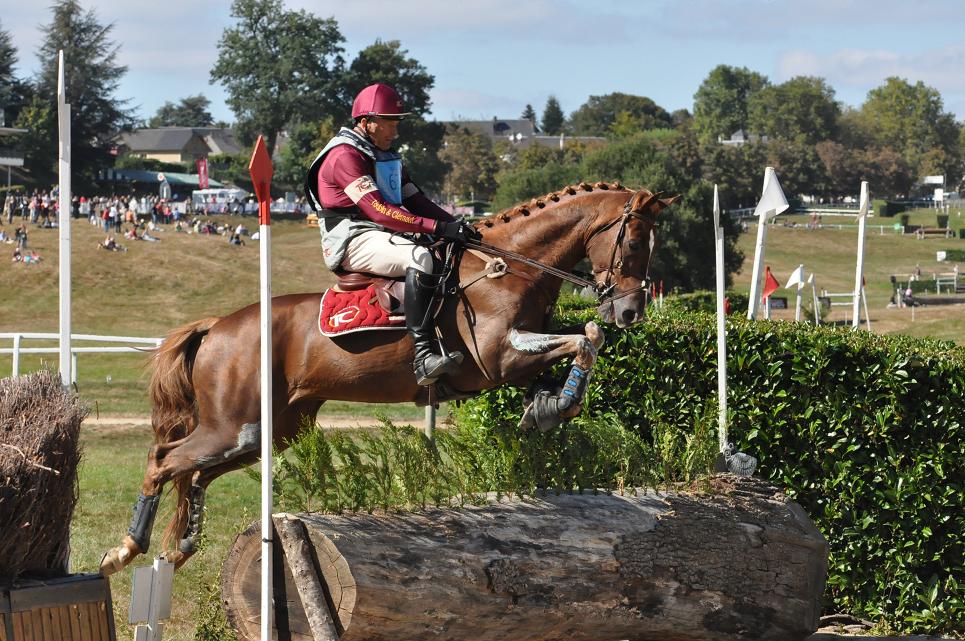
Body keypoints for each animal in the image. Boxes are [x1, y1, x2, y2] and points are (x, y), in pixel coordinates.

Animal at [96, 181, 672, 576]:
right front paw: (557, 401)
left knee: (194, 474)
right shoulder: (498, 356)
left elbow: (582, 339)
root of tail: (218, 326)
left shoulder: (520, 352)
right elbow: (586, 339)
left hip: (268, 432)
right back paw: (125, 550)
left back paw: (180, 546)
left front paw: (548, 406)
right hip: (233, 425)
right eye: (633, 243)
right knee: (164, 459)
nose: (631, 312)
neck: (514, 267)